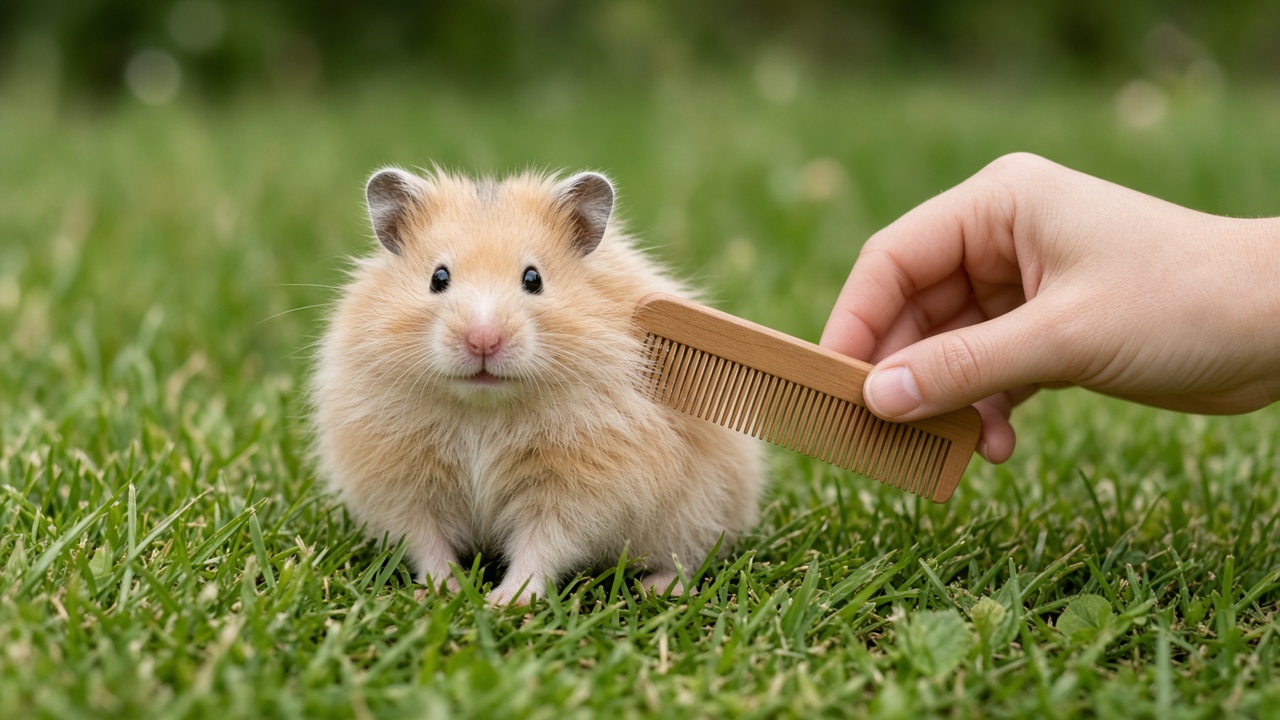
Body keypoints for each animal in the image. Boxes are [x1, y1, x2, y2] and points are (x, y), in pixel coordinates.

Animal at [311, 167, 764, 605]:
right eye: (438, 278)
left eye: (533, 279)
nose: (483, 340)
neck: (484, 407)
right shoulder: (403, 485)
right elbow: (429, 544)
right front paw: (440, 593)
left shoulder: (578, 489)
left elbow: (541, 546)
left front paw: (506, 602)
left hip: (701, 509)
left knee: (685, 557)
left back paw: (658, 589)